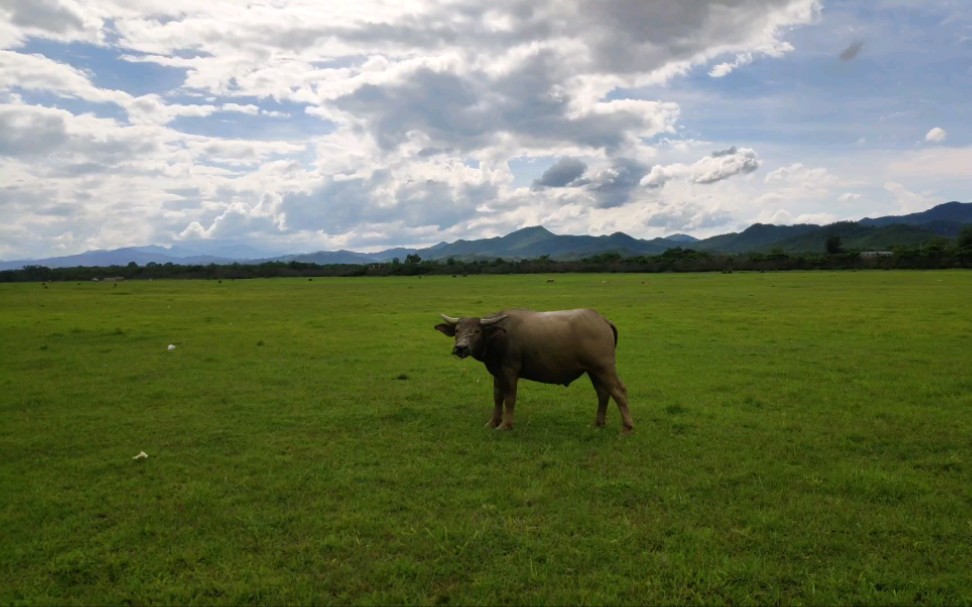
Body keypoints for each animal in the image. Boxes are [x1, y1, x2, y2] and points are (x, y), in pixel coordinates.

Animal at [434, 308, 636, 432]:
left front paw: (506, 425)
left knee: (619, 391)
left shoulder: (510, 371)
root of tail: (603, 320)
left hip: (604, 368)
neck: (498, 335)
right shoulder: (497, 373)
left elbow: (509, 398)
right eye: (457, 330)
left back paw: (627, 428)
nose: (461, 348)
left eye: (476, 331)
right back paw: (598, 424)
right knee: (603, 393)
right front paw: (492, 422)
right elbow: (497, 398)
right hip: (593, 371)